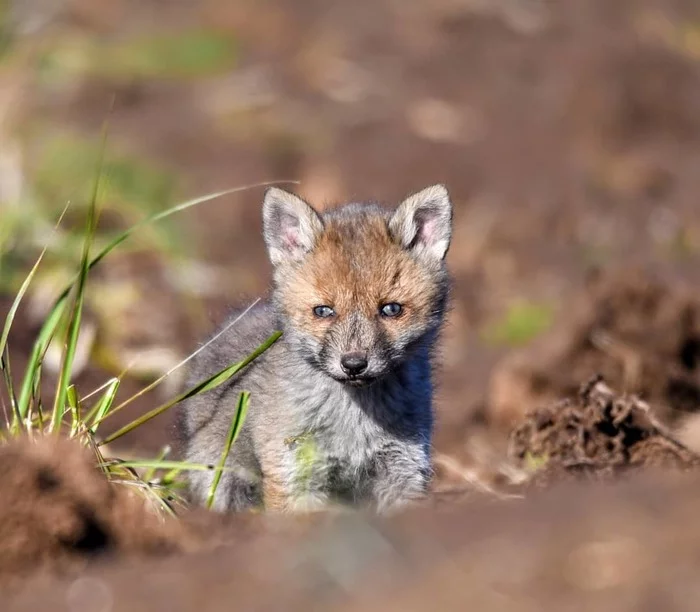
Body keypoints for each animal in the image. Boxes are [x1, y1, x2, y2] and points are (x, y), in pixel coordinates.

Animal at [174, 183, 453, 514]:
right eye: (323, 311)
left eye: (391, 309)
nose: (354, 364)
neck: (354, 423)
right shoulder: (293, 473)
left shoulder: (404, 468)